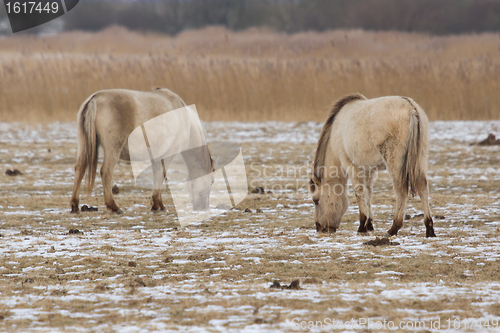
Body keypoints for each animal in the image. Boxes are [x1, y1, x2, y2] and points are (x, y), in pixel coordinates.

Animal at [70, 87, 213, 213]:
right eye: (211, 182)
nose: (203, 207)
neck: (185, 120)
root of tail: (95, 99)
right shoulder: (167, 155)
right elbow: (161, 175)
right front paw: (156, 204)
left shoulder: (157, 156)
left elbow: (157, 176)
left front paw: (158, 204)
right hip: (113, 148)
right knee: (106, 172)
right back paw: (114, 207)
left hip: (84, 145)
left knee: (80, 168)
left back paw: (75, 205)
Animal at [310, 93, 436, 236]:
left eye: (316, 201)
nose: (319, 228)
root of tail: (410, 108)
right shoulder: (368, 169)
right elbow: (368, 193)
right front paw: (369, 224)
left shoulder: (352, 166)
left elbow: (359, 192)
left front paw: (362, 226)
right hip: (420, 158)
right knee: (422, 186)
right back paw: (429, 228)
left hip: (394, 161)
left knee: (401, 189)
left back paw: (394, 228)